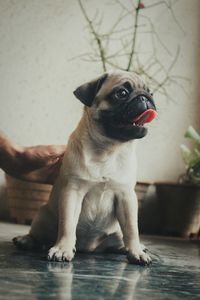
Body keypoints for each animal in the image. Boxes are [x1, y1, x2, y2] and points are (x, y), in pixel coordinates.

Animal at [13, 71, 156, 266]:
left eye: (151, 92)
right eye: (122, 93)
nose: (144, 97)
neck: (108, 149)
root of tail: (89, 248)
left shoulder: (127, 196)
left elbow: (132, 230)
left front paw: (136, 252)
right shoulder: (72, 192)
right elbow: (67, 225)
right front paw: (62, 249)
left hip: (116, 232)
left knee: (120, 239)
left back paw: (129, 247)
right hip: (42, 216)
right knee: (37, 234)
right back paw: (26, 240)